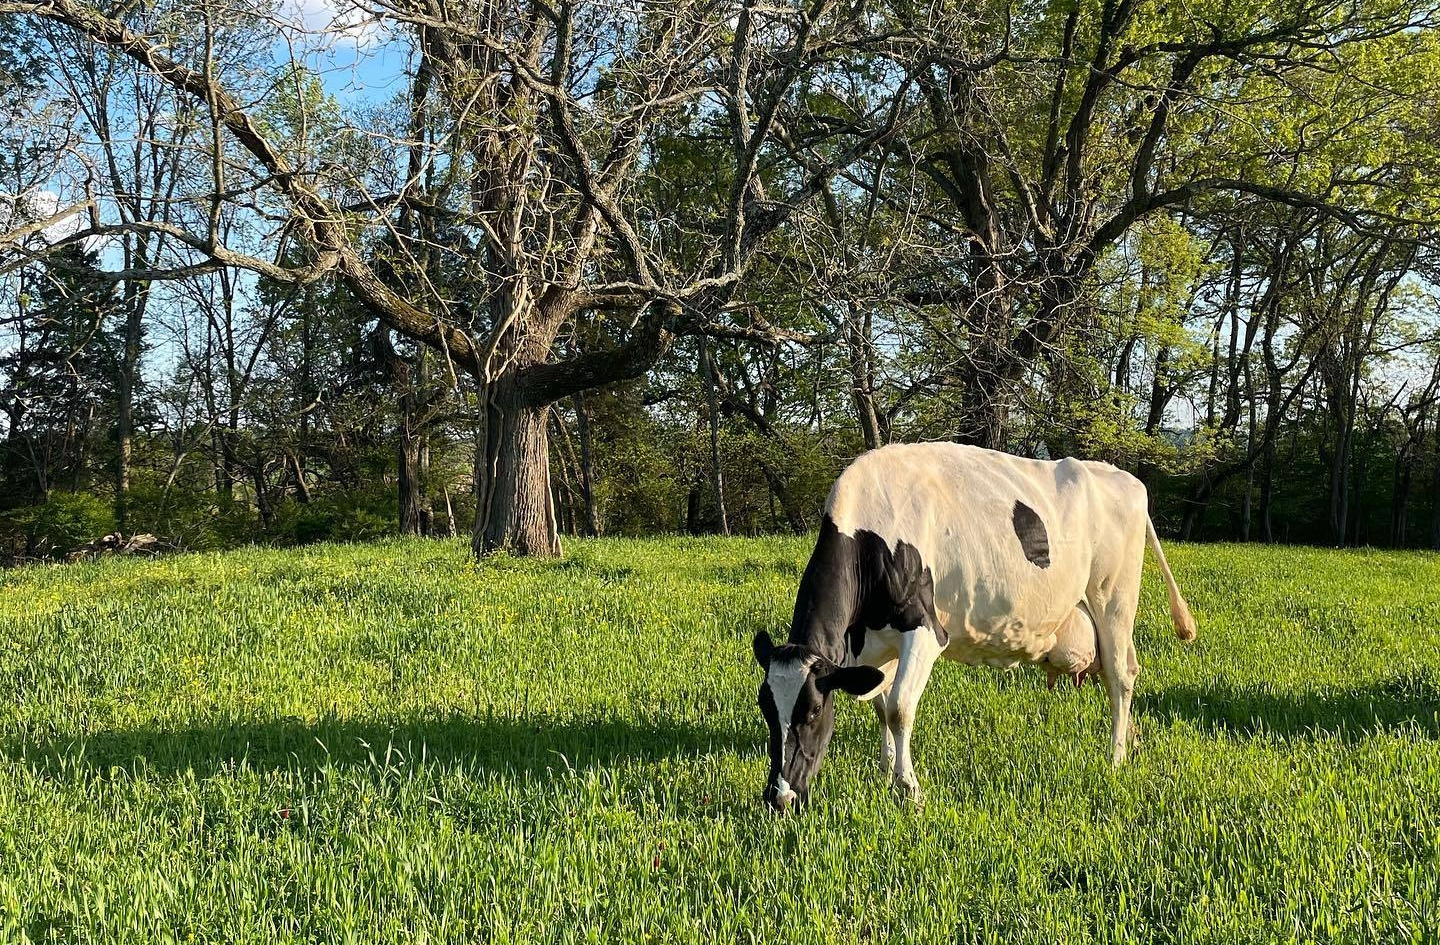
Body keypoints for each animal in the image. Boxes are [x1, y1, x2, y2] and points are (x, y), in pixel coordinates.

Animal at [752, 442, 1196, 812]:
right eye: (765, 708)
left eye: (813, 711)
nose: (780, 797)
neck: (871, 535)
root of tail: (1125, 478)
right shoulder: (874, 643)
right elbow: (879, 704)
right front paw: (885, 773)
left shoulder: (924, 630)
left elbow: (898, 709)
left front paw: (909, 789)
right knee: (1120, 672)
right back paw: (1131, 740)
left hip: (1114, 598)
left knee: (1120, 677)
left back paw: (1115, 758)